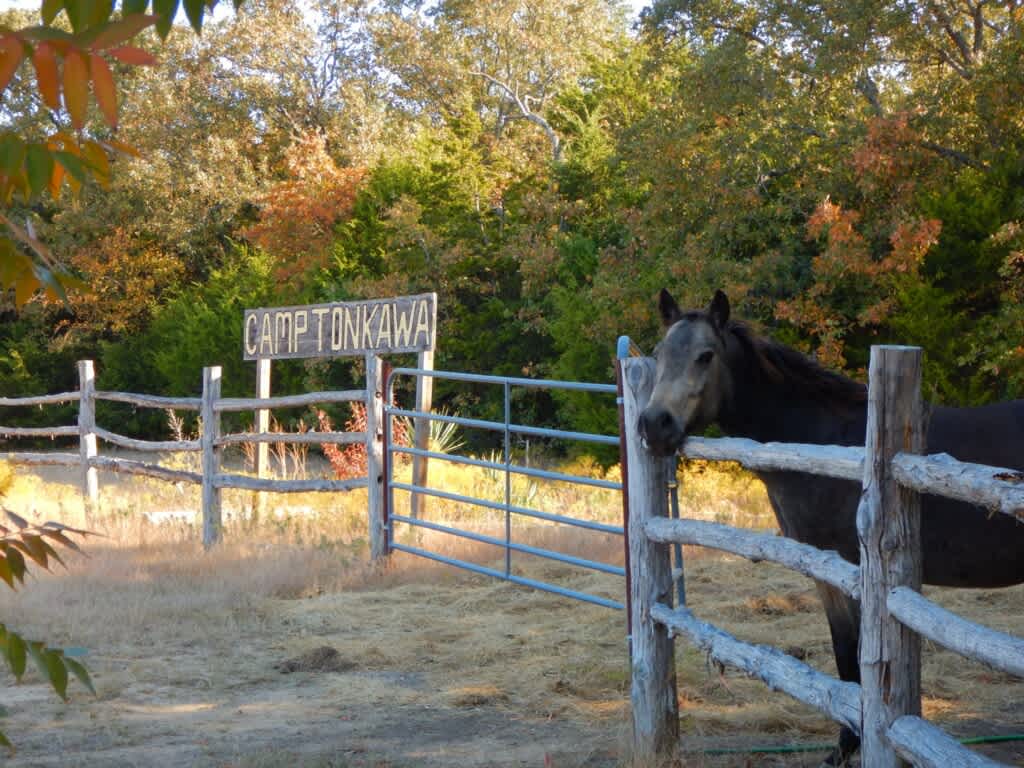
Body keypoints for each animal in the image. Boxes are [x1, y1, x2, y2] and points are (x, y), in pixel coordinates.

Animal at [638, 288, 1024, 767]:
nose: (653, 426)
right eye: (658, 354)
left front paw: (849, 743)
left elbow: (854, 657)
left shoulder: (848, 568)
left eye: (705, 356)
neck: (826, 439)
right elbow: (844, 654)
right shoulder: (826, 573)